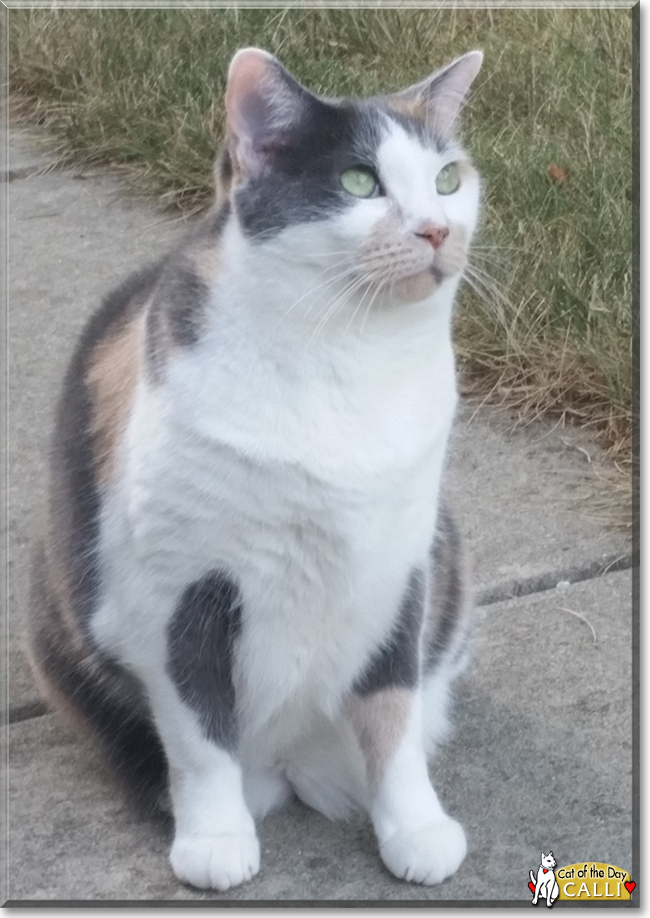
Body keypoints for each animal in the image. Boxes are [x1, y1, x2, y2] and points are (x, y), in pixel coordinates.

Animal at [26, 46, 480, 896]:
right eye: (358, 181)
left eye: (448, 178)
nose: (437, 228)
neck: (347, 355)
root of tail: (293, 766)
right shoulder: (174, 593)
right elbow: (202, 733)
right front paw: (216, 839)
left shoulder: (402, 569)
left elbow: (394, 710)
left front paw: (416, 826)